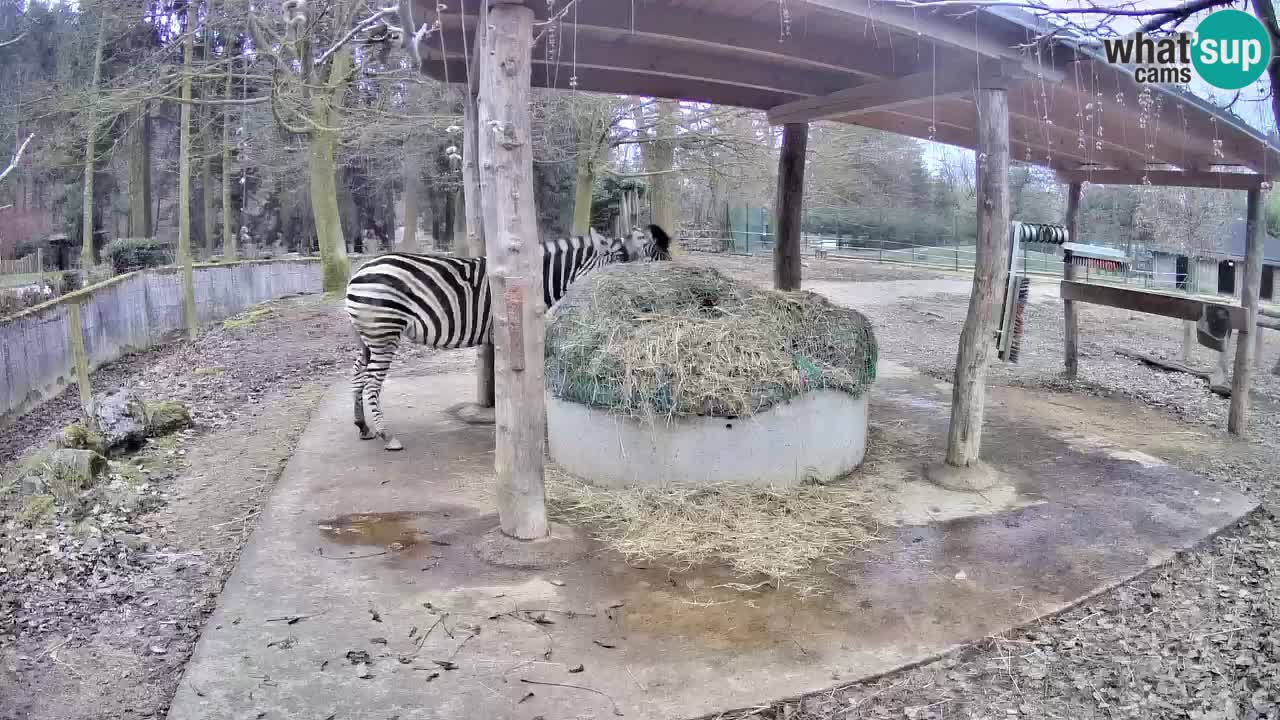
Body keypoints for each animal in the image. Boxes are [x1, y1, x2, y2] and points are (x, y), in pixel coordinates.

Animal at [345, 224, 675, 448]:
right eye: (624, 261)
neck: (539, 281)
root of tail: (358, 272)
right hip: (384, 332)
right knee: (372, 382)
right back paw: (387, 435)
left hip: (366, 337)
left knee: (358, 375)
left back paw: (362, 426)